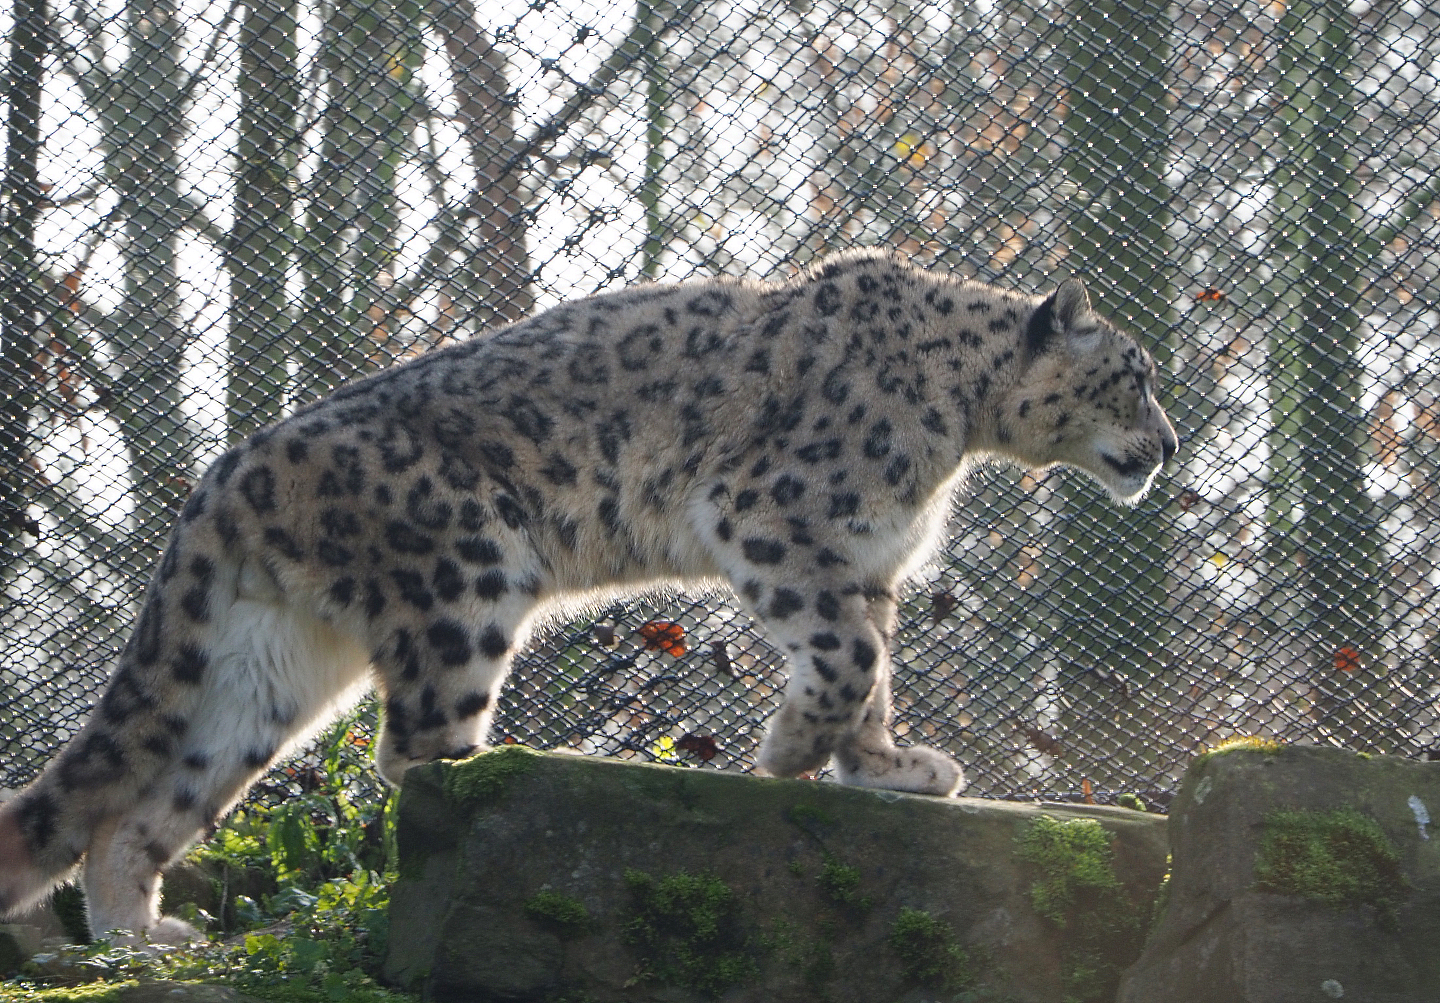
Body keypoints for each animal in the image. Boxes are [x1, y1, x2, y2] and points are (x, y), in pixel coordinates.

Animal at [0, 249, 1177, 943]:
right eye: (1137, 373)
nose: (1168, 445)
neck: (959, 423)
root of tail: (231, 467)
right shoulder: (771, 516)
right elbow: (850, 657)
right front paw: (789, 752)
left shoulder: (865, 561)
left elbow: (871, 668)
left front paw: (885, 766)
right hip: (465, 577)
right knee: (412, 751)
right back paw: (497, 788)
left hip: (271, 665)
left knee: (149, 806)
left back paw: (142, 935)